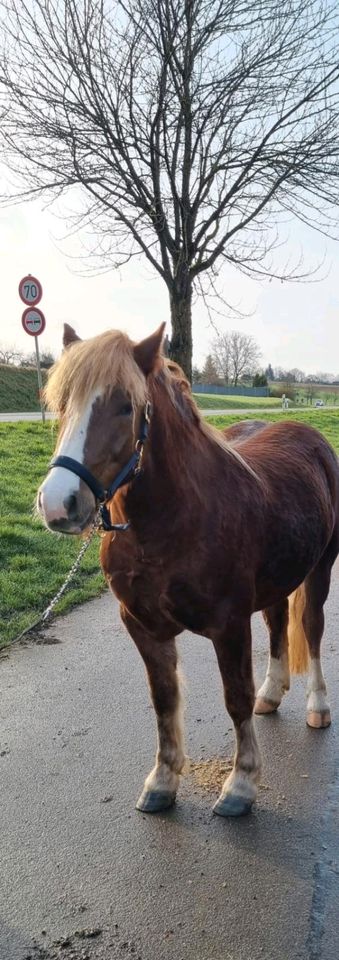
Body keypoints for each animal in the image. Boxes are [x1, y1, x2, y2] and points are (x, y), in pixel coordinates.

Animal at [37, 328, 339, 816]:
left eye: (126, 406)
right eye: (62, 401)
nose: (58, 504)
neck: (172, 523)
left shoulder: (229, 625)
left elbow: (235, 697)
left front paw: (241, 784)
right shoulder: (142, 625)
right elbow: (164, 699)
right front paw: (162, 780)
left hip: (320, 569)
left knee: (311, 628)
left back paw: (318, 705)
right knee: (277, 623)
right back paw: (272, 694)